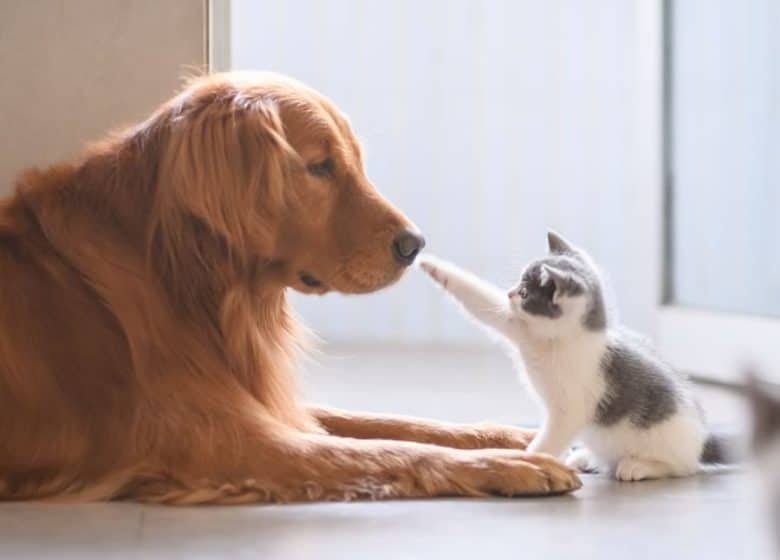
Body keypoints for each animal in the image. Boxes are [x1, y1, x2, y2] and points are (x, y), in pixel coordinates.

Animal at [0, 71, 576, 504]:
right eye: (319, 167)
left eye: (355, 162)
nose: (415, 245)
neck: (181, 273)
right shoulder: (227, 440)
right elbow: (396, 450)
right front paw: (507, 465)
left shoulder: (268, 402)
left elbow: (401, 423)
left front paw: (517, 437)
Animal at [420, 232, 724, 482]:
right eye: (518, 283)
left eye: (525, 292)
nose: (509, 293)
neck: (556, 341)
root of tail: (702, 438)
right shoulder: (519, 327)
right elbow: (480, 301)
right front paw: (431, 265)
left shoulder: (570, 410)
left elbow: (551, 438)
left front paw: (526, 461)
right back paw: (586, 458)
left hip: (670, 439)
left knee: (681, 467)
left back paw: (639, 466)